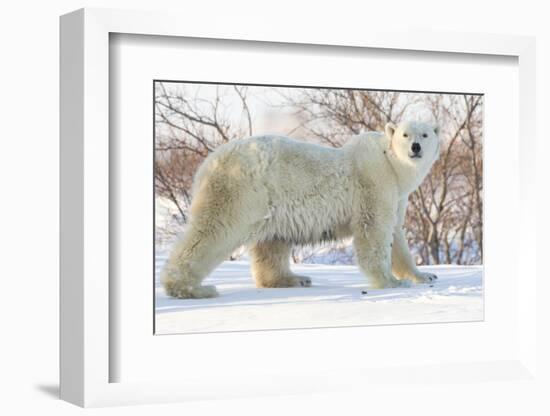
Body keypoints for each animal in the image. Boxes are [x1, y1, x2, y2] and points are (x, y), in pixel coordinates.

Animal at [162, 120, 442, 300]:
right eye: (405, 135)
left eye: (425, 134)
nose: (415, 147)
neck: (390, 163)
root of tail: (208, 164)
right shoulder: (374, 183)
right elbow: (374, 230)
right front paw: (390, 281)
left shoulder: (397, 195)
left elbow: (396, 234)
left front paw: (424, 275)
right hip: (241, 189)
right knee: (213, 230)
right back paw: (191, 288)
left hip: (269, 202)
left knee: (271, 243)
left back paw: (295, 278)